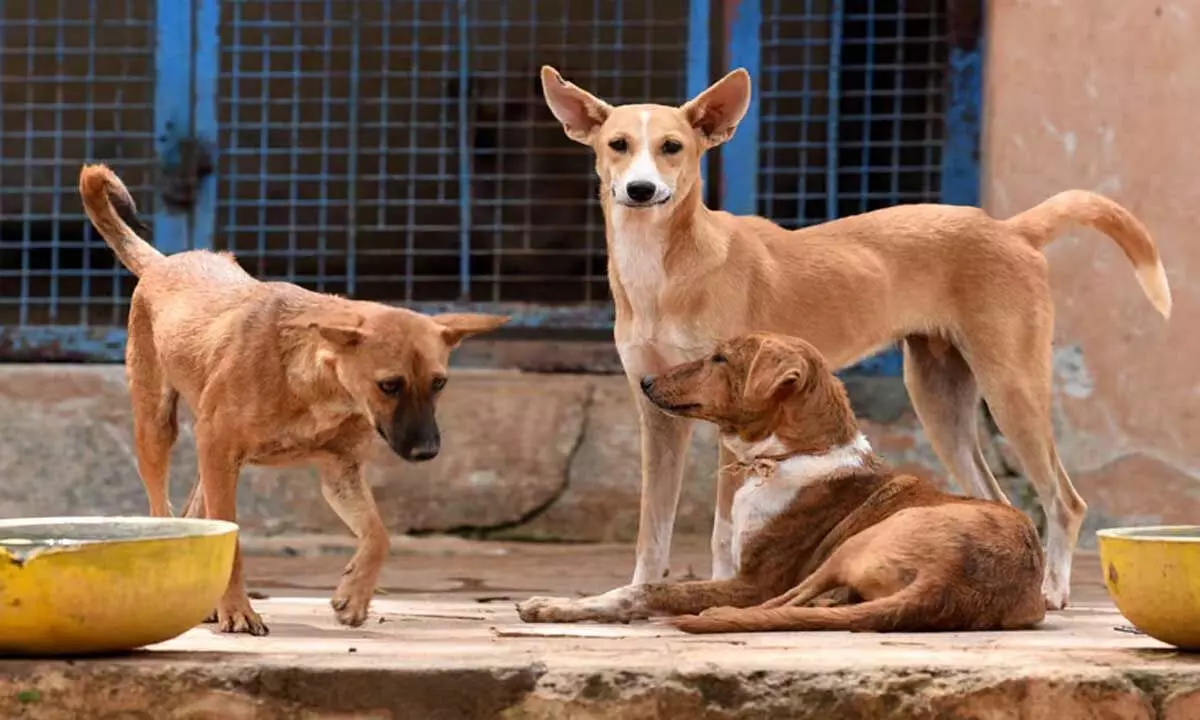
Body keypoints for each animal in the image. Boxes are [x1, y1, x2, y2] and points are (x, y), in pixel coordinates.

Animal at [78, 164, 511, 633]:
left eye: (439, 383)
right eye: (389, 385)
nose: (427, 452)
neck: (316, 386)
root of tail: (164, 262)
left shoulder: (339, 471)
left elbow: (378, 534)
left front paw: (354, 595)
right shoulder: (221, 451)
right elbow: (233, 540)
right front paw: (239, 610)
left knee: (198, 511)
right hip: (157, 429)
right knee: (165, 509)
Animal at [520, 333, 1046, 633]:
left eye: (719, 359)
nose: (646, 381)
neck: (789, 456)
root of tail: (948, 582)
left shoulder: (753, 582)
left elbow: (644, 591)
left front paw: (554, 605)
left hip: (851, 546)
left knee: (783, 604)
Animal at [537, 67, 1171, 609]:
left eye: (673, 148)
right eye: (618, 145)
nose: (641, 190)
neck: (663, 268)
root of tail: (1009, 228)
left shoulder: (728, 418)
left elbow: (721, 533)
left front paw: (714, 590)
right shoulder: (656, 412)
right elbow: (652, 533)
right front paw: (622, 594)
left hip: (1012, 388)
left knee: (1065, 499)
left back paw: (1052, 590)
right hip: (940, 400)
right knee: (999, 497)